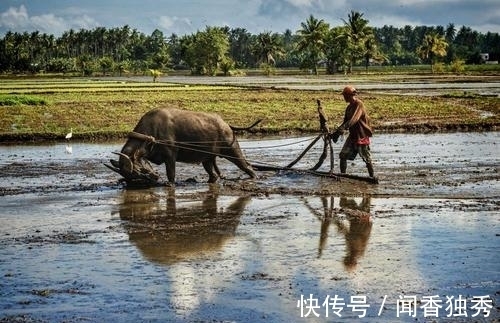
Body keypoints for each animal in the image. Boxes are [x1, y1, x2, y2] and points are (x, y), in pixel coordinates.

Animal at [108, 108, 258, 186]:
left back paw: (253, 177)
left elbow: (171, 173)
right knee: (213, 174)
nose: (155, 178)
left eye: (139, 172)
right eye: (131, 178)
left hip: (232, 149)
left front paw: (170, 184)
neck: (150, 136)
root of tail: (226, 124)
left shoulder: (170, 156)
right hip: (207, 158)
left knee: (247, 166)